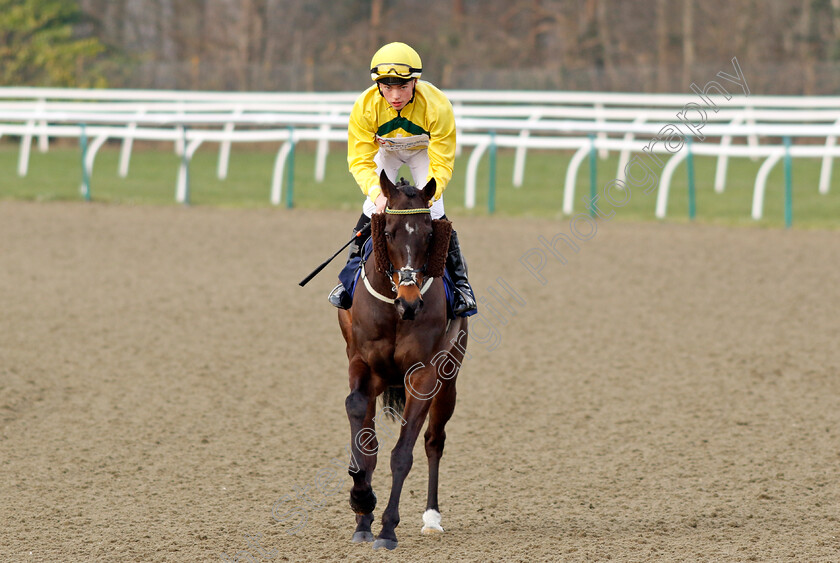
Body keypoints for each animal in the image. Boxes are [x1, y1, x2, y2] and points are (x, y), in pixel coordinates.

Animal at [336, 171, 466, 552]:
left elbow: (402, 454)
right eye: (389, 232)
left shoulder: (424, 375)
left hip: (449, 378)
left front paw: (388, 528)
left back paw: (431, 519)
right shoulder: (362, 363)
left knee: (434, 441)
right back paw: (363, 520)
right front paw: (361, 499)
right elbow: (360, 426)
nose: (410, 302)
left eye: (429, 234)